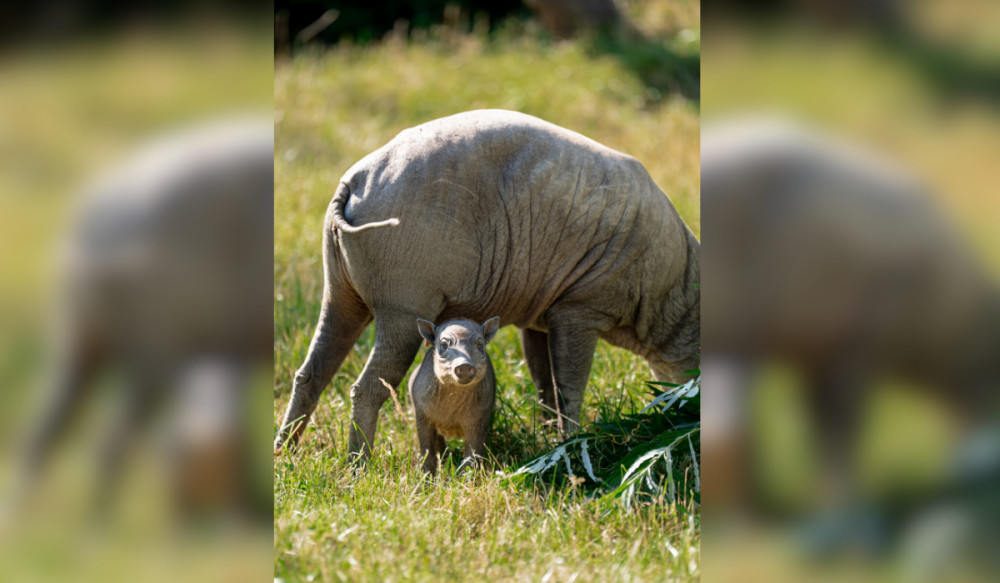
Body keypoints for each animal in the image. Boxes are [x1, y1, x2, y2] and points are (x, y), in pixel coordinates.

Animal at [274, 109, 700, 459]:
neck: (676, 292)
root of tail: (354, 181)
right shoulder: (581, 309)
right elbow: (569, 387)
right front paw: (572, 442)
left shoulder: (540, 317)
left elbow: (545, 385)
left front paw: (548, 439)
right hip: (404, 308)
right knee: (367, 388)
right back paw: (357, 467)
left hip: (340, 294)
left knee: (311, 373)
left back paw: (286, 454)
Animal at [409, 317, 500, 475]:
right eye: (444, 345)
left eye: (479, 345)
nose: (464, 366)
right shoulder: (421, 416)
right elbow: (427, 450)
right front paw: (426, 478)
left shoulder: (479, 419)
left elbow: (472, 454)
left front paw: (467, 478)